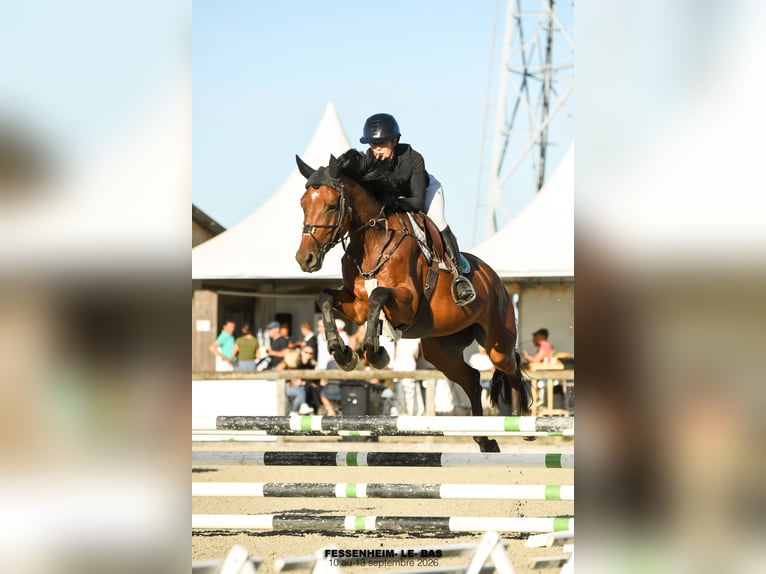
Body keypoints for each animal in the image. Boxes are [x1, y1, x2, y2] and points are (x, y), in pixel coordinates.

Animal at [294, 154, 532, 452]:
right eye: (303, 204)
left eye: (332, 205)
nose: (306, 259)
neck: (372, 242)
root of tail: (495, 280)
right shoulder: (355, 306)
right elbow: (326, 298)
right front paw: (343, 354)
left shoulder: (407, 301)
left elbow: (378, 296)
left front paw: (375, 354)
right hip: (440, 350)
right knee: (474, 380)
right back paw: (483, 439)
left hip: (496, 340)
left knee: (512, 366)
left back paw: (522, 422)